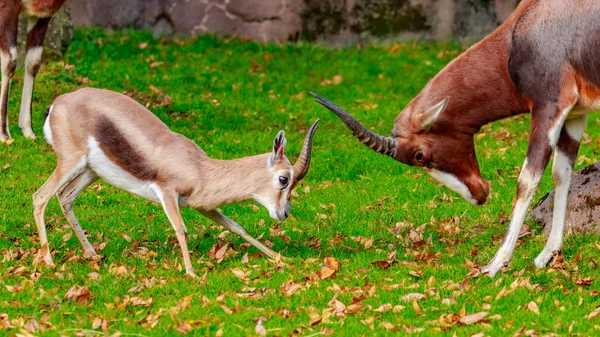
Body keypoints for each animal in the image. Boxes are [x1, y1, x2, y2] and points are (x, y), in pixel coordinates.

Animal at [0, 0, 66, 141]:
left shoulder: (41, 16)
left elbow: (33, 63)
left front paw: (28, 130)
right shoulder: (7, 6)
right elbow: (10, 62)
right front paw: (4, 134)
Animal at [34, 88, 318, 274]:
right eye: (284, 179)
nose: (284, 213)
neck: (200, 169)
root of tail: (56, 104)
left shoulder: (202, 205)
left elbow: (237, 226)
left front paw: (279, 258)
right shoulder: (167, 192)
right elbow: (181, 229)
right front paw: (191, 272)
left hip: (91, 171)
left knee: (64, 197)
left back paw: (92, 253)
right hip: (70, 161)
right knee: (40, 196)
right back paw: (48, 261)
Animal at [314, 0, 600, 276]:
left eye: (420, 155)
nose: (479, 195)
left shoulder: (549, 106)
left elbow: (526, 181)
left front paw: (494, 264)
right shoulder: (575, 114)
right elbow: (561, 173)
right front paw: (547, 255)